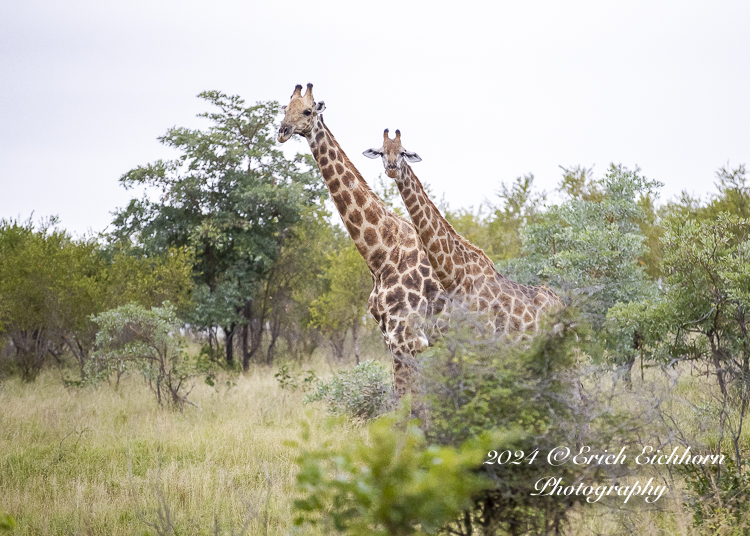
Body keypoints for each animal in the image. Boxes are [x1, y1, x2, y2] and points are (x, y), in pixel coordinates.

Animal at [280, 86, 446, 400]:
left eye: (308, 110)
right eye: (284, 108)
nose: (282, 131)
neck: (380, 255)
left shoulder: (406, 338)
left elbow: (406, 400)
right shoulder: (391, 337)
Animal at [364, 129, 564, 340]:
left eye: (403, 152)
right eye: (381, 152)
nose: (392, 168)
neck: (456, 279)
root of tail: (560, 301)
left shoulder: (484, 336)